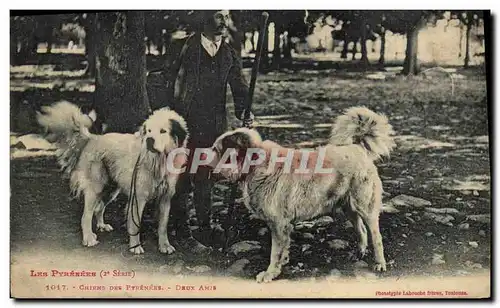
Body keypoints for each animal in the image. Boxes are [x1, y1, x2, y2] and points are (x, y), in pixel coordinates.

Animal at [36, 101, 189, 253]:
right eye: (149, 131)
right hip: (96, 188)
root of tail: (92, 138)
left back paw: (101, 226)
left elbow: (163, 226)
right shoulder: (138, 198)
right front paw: (135, 246)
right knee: (86, 216)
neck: (159, 161)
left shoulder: (165, 199)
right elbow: (135, 225)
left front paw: (164, 245)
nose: (149, 140)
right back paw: (89, 238)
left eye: (163, 131)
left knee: (99, 208)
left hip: (111, 190)